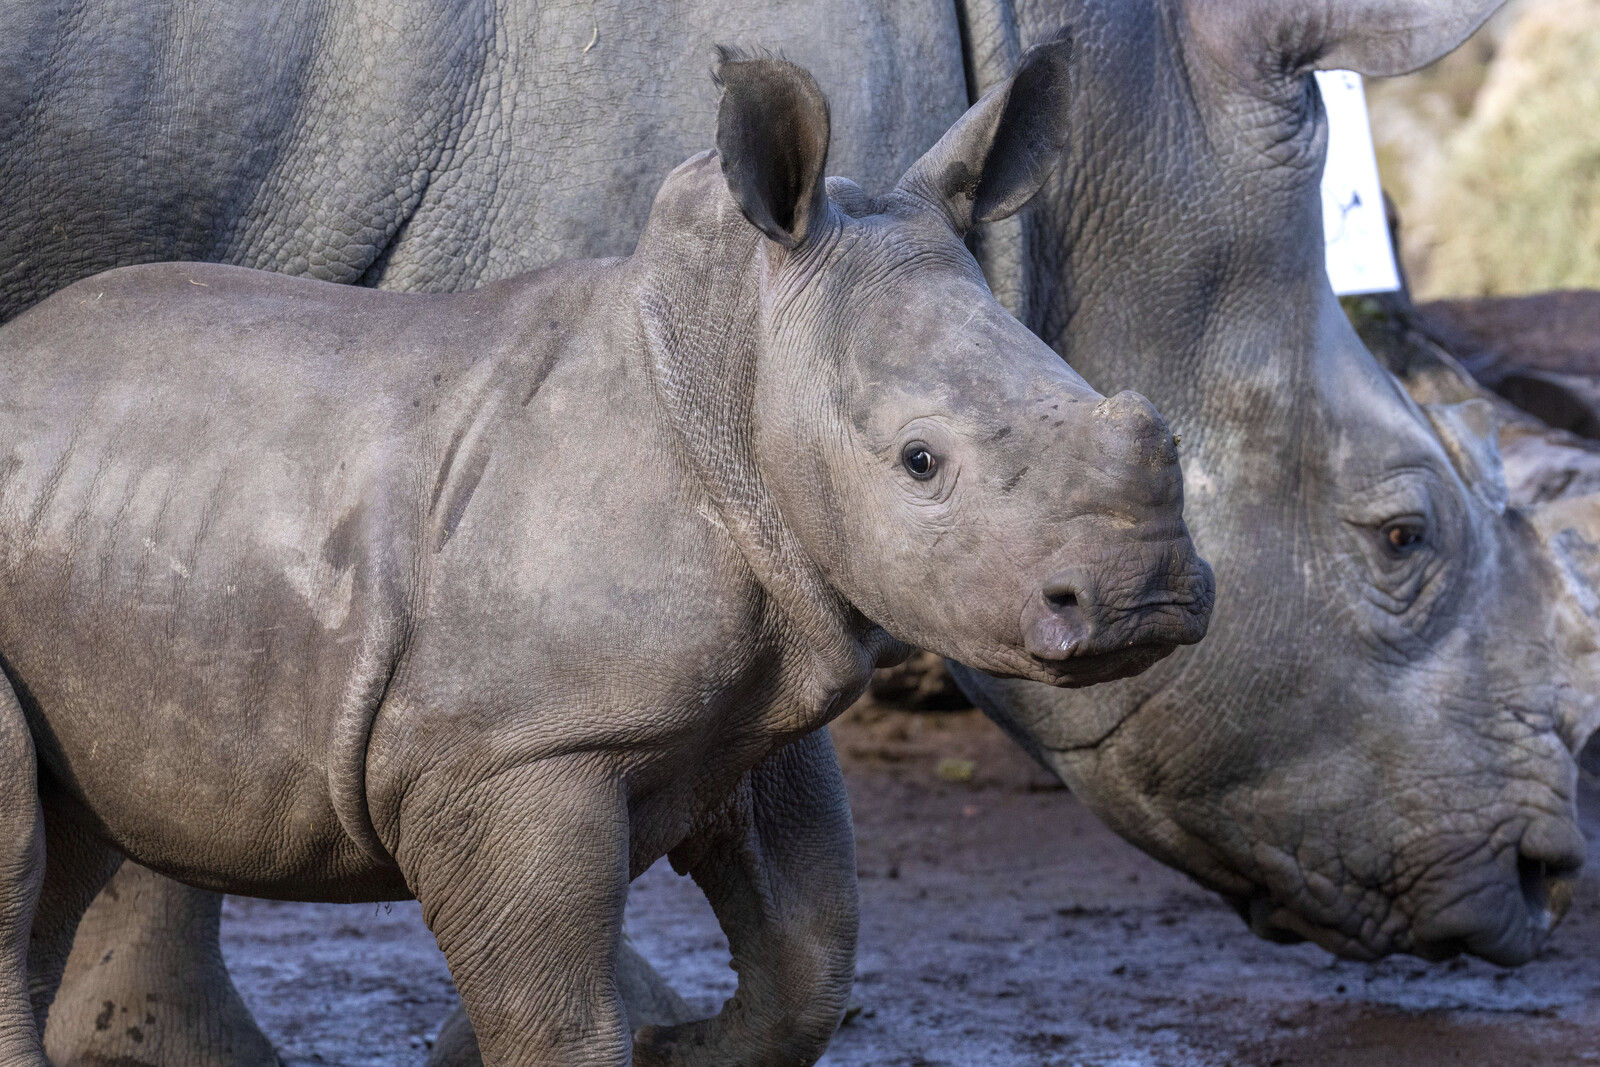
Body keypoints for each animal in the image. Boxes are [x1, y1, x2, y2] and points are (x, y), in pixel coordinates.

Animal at [6, 0, 1600, 1062]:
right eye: (1400, 538)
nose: (1148, 603)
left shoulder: (767, 661)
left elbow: (809, 949)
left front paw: (689, 1046)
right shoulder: (509, 746)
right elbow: (556, 999)